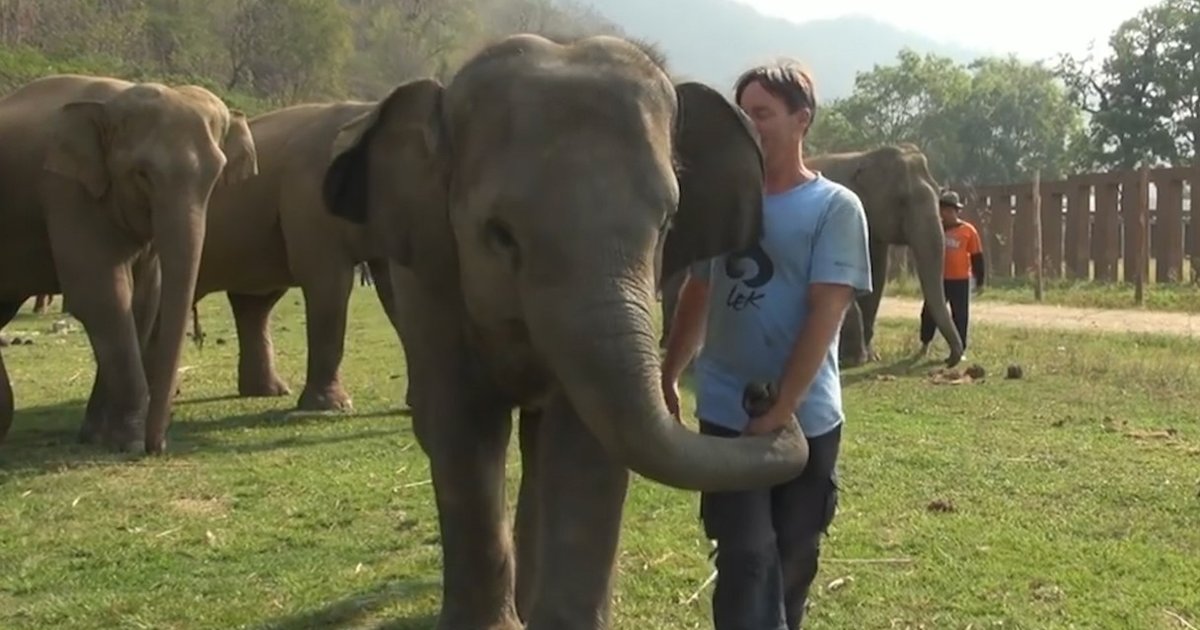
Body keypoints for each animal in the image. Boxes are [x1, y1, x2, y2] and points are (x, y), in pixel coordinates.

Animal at [0, 74, 258, 452]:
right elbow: (103, 296)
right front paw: (130, 441)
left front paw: (98, 437)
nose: (158, 446)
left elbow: (143, 298)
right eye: (142, 174)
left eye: (216, 175)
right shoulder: (65, 191)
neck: (113, 97)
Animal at [319, 34, 811, 629]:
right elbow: (465, 433)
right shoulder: (433, 291)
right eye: (500, 235)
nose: (761, 393)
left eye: (667, 223)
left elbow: (586, 444)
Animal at [807, 143, 964, 367]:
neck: (864, 157)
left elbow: (877, 277)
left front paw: (870, 358)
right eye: (901, 201)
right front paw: (855, 359)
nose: (948, 359)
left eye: (938, 194)